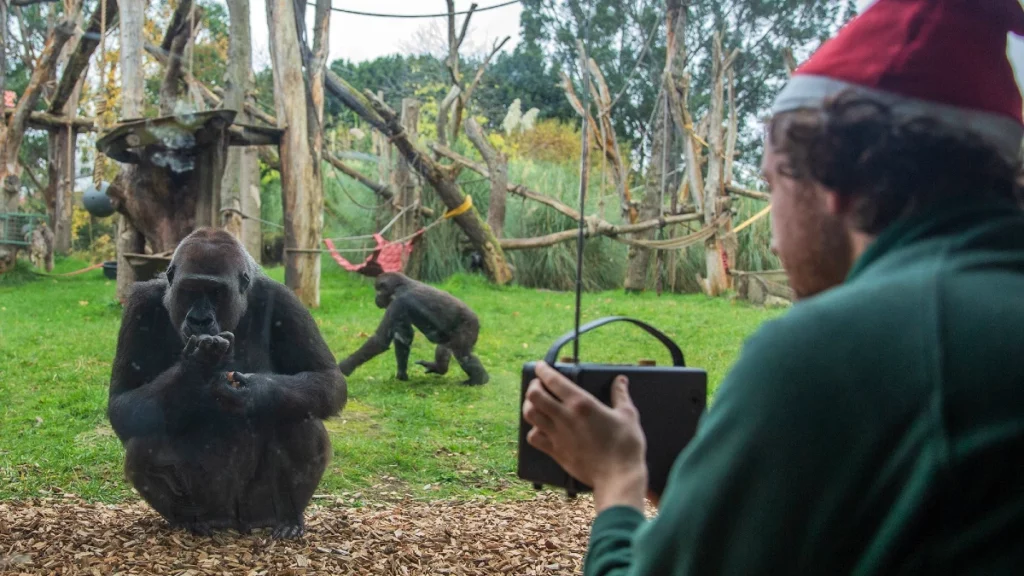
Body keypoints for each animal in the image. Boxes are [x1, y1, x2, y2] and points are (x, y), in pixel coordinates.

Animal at [106, 227, 348, 537]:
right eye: (190, 291)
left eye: (216, 293)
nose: (200, 320)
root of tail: (232, 523)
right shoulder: (140, 303)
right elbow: (123, 403)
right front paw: (195, 368)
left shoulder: (286, 299)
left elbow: (327, 378)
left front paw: (255, 393)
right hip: (213, 507)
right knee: (144, 443)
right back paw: (191, 521)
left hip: (255, 510)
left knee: (297, 415)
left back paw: (287, 517)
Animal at [337, 270, 489, 383]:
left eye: (378, 291)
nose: (375, 298)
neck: (401, 285)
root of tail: (477, 321)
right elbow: (403, 337)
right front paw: (401, 373)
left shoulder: (398, 302)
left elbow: (381, 340)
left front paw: (344, 368)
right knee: (444, 348)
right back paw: (440, 368)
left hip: (468, 327)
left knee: (463, 355)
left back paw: (479, 380)